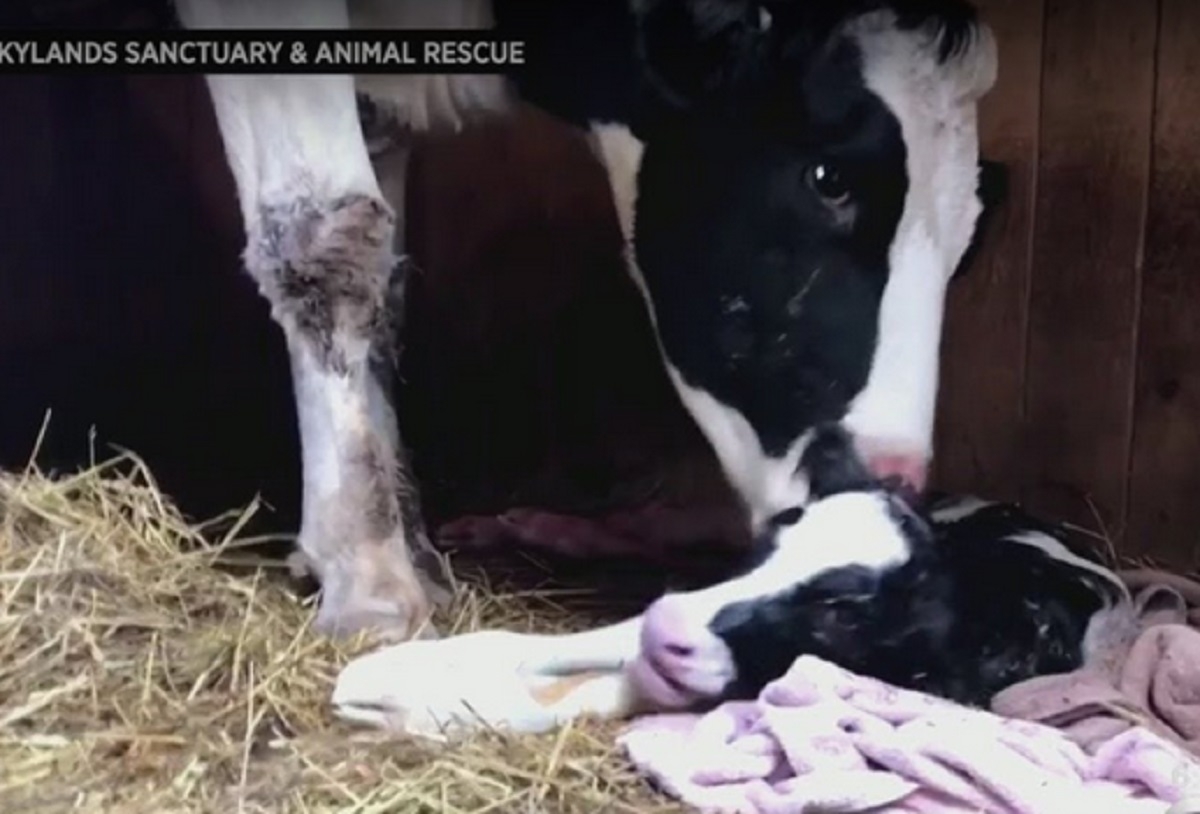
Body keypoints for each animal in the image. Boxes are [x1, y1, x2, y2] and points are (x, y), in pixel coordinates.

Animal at [174, 0, 1003, 643]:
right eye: (829, 178)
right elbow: (327, 235)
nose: (889, 481)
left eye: (971, 228)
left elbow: (390, 282)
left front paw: (409, 546)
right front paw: (368, 571)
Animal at [333, 427, 1128, 739]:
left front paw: (422, 707)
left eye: (845, 611)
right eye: (772, 537)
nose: (670, 631)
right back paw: (509, 526)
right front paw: (400, 668)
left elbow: (597, 689)